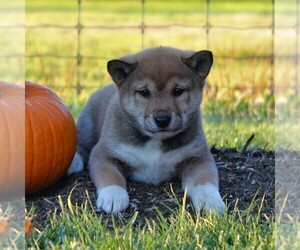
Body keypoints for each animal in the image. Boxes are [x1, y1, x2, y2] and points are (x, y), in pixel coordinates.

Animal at [68, 47, 225, 215]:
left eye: (178, 91)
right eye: (144, 92)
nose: (162, 120)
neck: (155, 140)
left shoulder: (198, 157)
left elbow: (205, 180)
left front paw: (211, 200)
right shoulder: (104, 153)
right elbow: (110, 176)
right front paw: (113, 196)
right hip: (88, 125)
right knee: (81, 145)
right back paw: (74, 162)